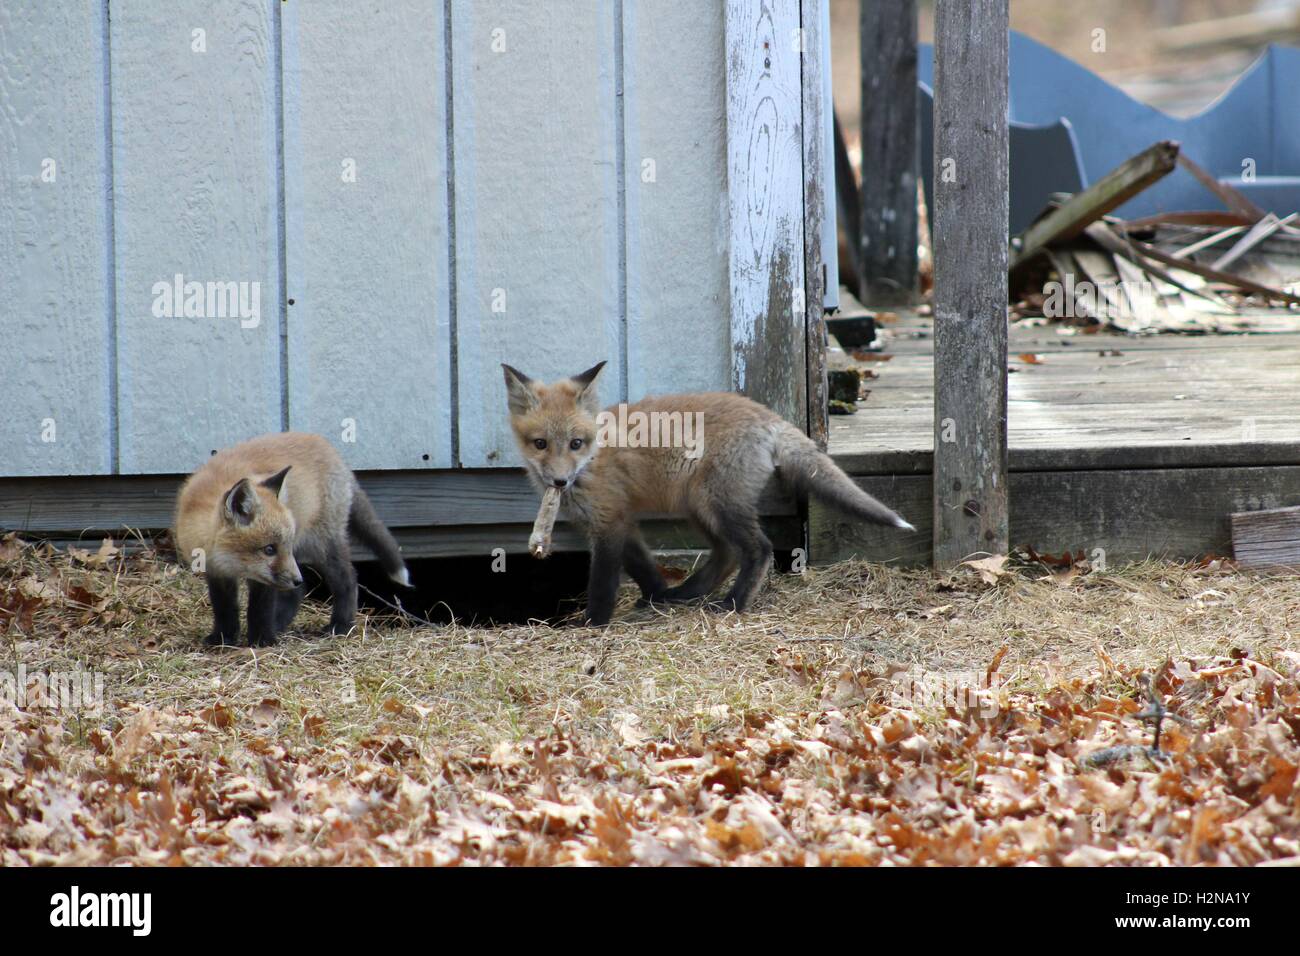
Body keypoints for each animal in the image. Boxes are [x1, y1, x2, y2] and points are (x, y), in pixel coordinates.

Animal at [173, 432, 410, 647]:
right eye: (269, 549)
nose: (297, 579)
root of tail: (328, 447)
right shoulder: (215, 570)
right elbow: (224, 608)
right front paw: (223, 638)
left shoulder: (265, 578)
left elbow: (260, 608)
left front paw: (262, 640)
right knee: (298, 593)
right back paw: (281, 622)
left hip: (321, 546)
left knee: (347, 579)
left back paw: (340, 626)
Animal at [502, 361, 915, 626]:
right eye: (540, 444)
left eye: (575, 443)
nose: (559, 482)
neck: (594, 458)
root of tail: (769, 416)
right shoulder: (620, 521)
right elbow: (643, 566)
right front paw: (657, 597)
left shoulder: (608, 523)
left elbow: (603, 583)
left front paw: (592, 623)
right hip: (699, 507)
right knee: (728, 553)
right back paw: (689, 593)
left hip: (717, 503)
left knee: (759, 548)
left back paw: (733, 603)